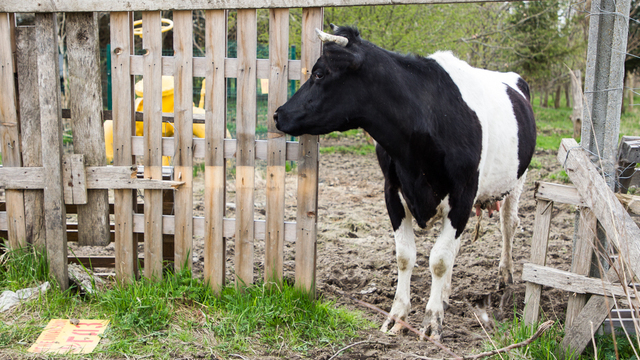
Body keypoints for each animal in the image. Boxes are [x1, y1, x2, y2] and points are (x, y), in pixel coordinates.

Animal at [274, 26, 536, 340]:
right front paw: (397, 316)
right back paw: (445, 294)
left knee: (508, 225)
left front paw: (432, 322)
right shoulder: (393, 192)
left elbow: (439, 260)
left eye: (319, 74)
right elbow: (406, 256)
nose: (278, 114)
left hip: (517, 180)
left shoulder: (462, 194)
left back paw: (505, 275)